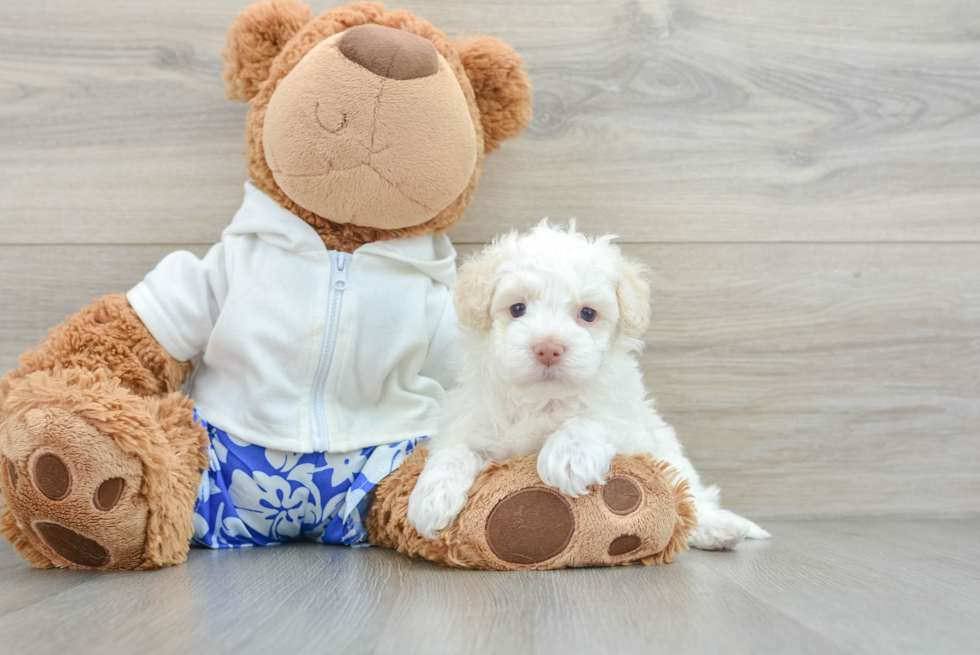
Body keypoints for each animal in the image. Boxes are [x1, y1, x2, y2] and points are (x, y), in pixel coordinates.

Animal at [410, 223, 768, 552]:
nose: (548, 348)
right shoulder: (471, 419)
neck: (543, 399)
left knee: (691, 495)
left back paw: (719, 528)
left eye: (588, 313)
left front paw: (570, 455)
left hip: (671, 458)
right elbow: (455, 450)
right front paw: (430, 498)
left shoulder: (629, 423)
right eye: (517, 308)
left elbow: (593, 417)